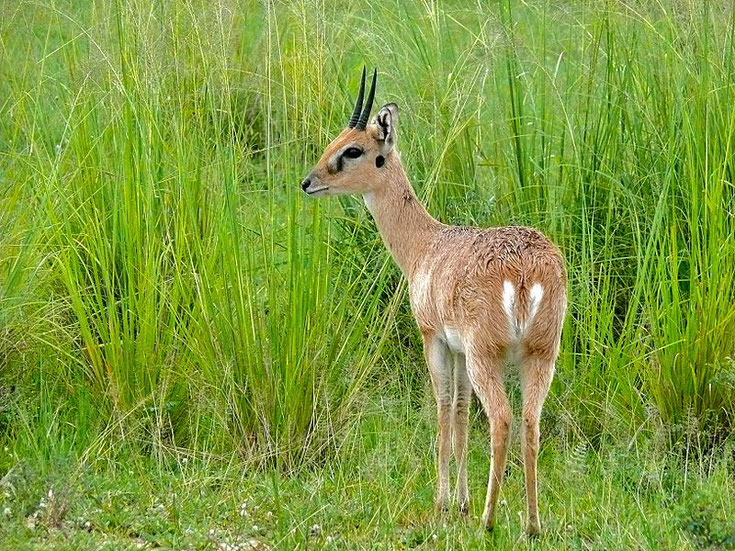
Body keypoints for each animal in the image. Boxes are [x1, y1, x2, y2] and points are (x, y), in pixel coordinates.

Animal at [302, 68, 568, 536]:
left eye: (353, 149)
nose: (308, 182)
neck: (426, 246)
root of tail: (525, 271)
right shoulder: (459, 351)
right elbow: (460, 413)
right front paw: (461, 501)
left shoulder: (435, 341)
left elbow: (443, 410)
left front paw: (444, 502)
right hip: (539, 356)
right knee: (530, 423)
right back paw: (531, 524)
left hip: (488, 357)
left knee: (502, 419)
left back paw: (489, 521)